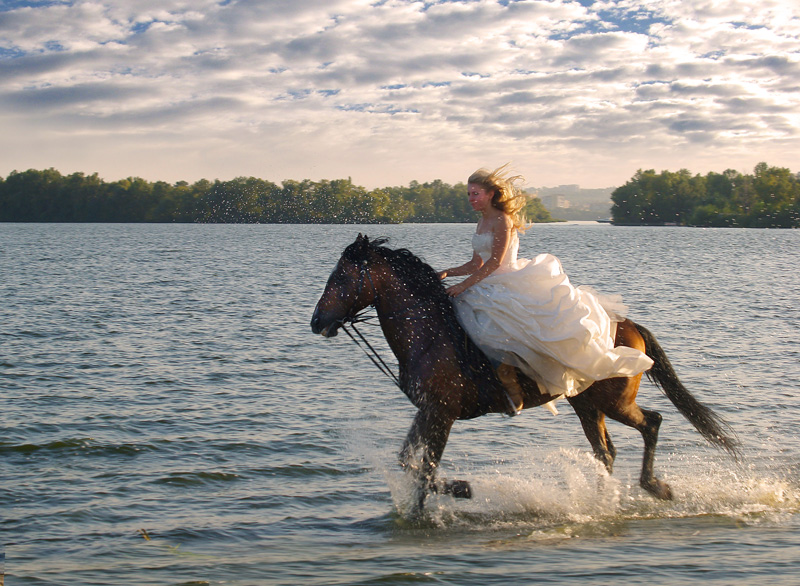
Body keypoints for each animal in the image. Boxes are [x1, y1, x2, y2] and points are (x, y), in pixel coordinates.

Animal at [310, 233, 736, 512]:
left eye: (341, 278)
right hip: (587, 405)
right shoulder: (429, 410)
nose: (316, 322)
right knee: (606, 453)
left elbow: (425, 468)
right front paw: (425, 506)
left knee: (652, 422)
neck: (429, 334)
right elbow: (409, 462)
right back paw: (601, 502)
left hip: (614, 401)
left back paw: (655, 488)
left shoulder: (442, 413)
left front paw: (459, 489)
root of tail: (628, 324)